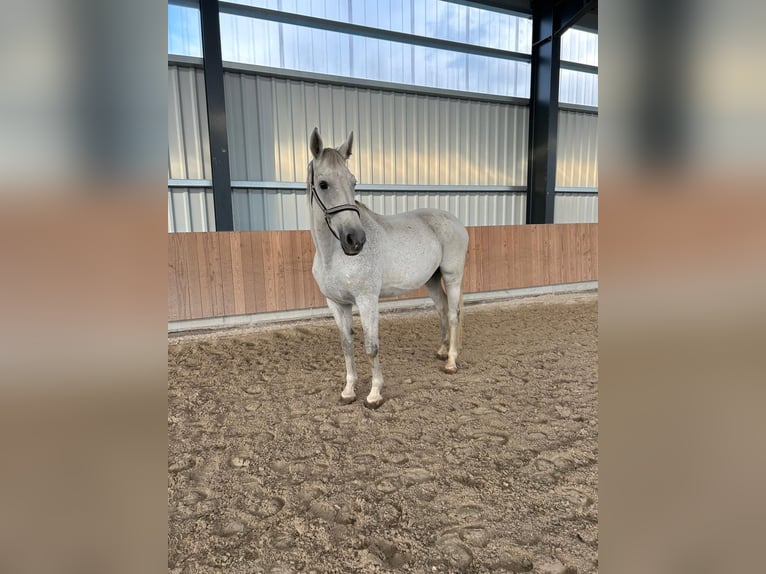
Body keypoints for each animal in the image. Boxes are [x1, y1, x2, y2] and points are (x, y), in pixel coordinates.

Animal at [308, 130, 468, 410]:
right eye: (324, 184)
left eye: (353, 182)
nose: (356, 240)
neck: (333, 255)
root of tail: (456, 221)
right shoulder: (337, 303)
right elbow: (347, 345)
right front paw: (348, 391)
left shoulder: (367, 300)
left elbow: (371, 347)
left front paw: (374, 394)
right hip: (432, 280)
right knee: (441, 309)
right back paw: (441, 351)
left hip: (452, 276)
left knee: (452, 314)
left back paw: (451, 362)